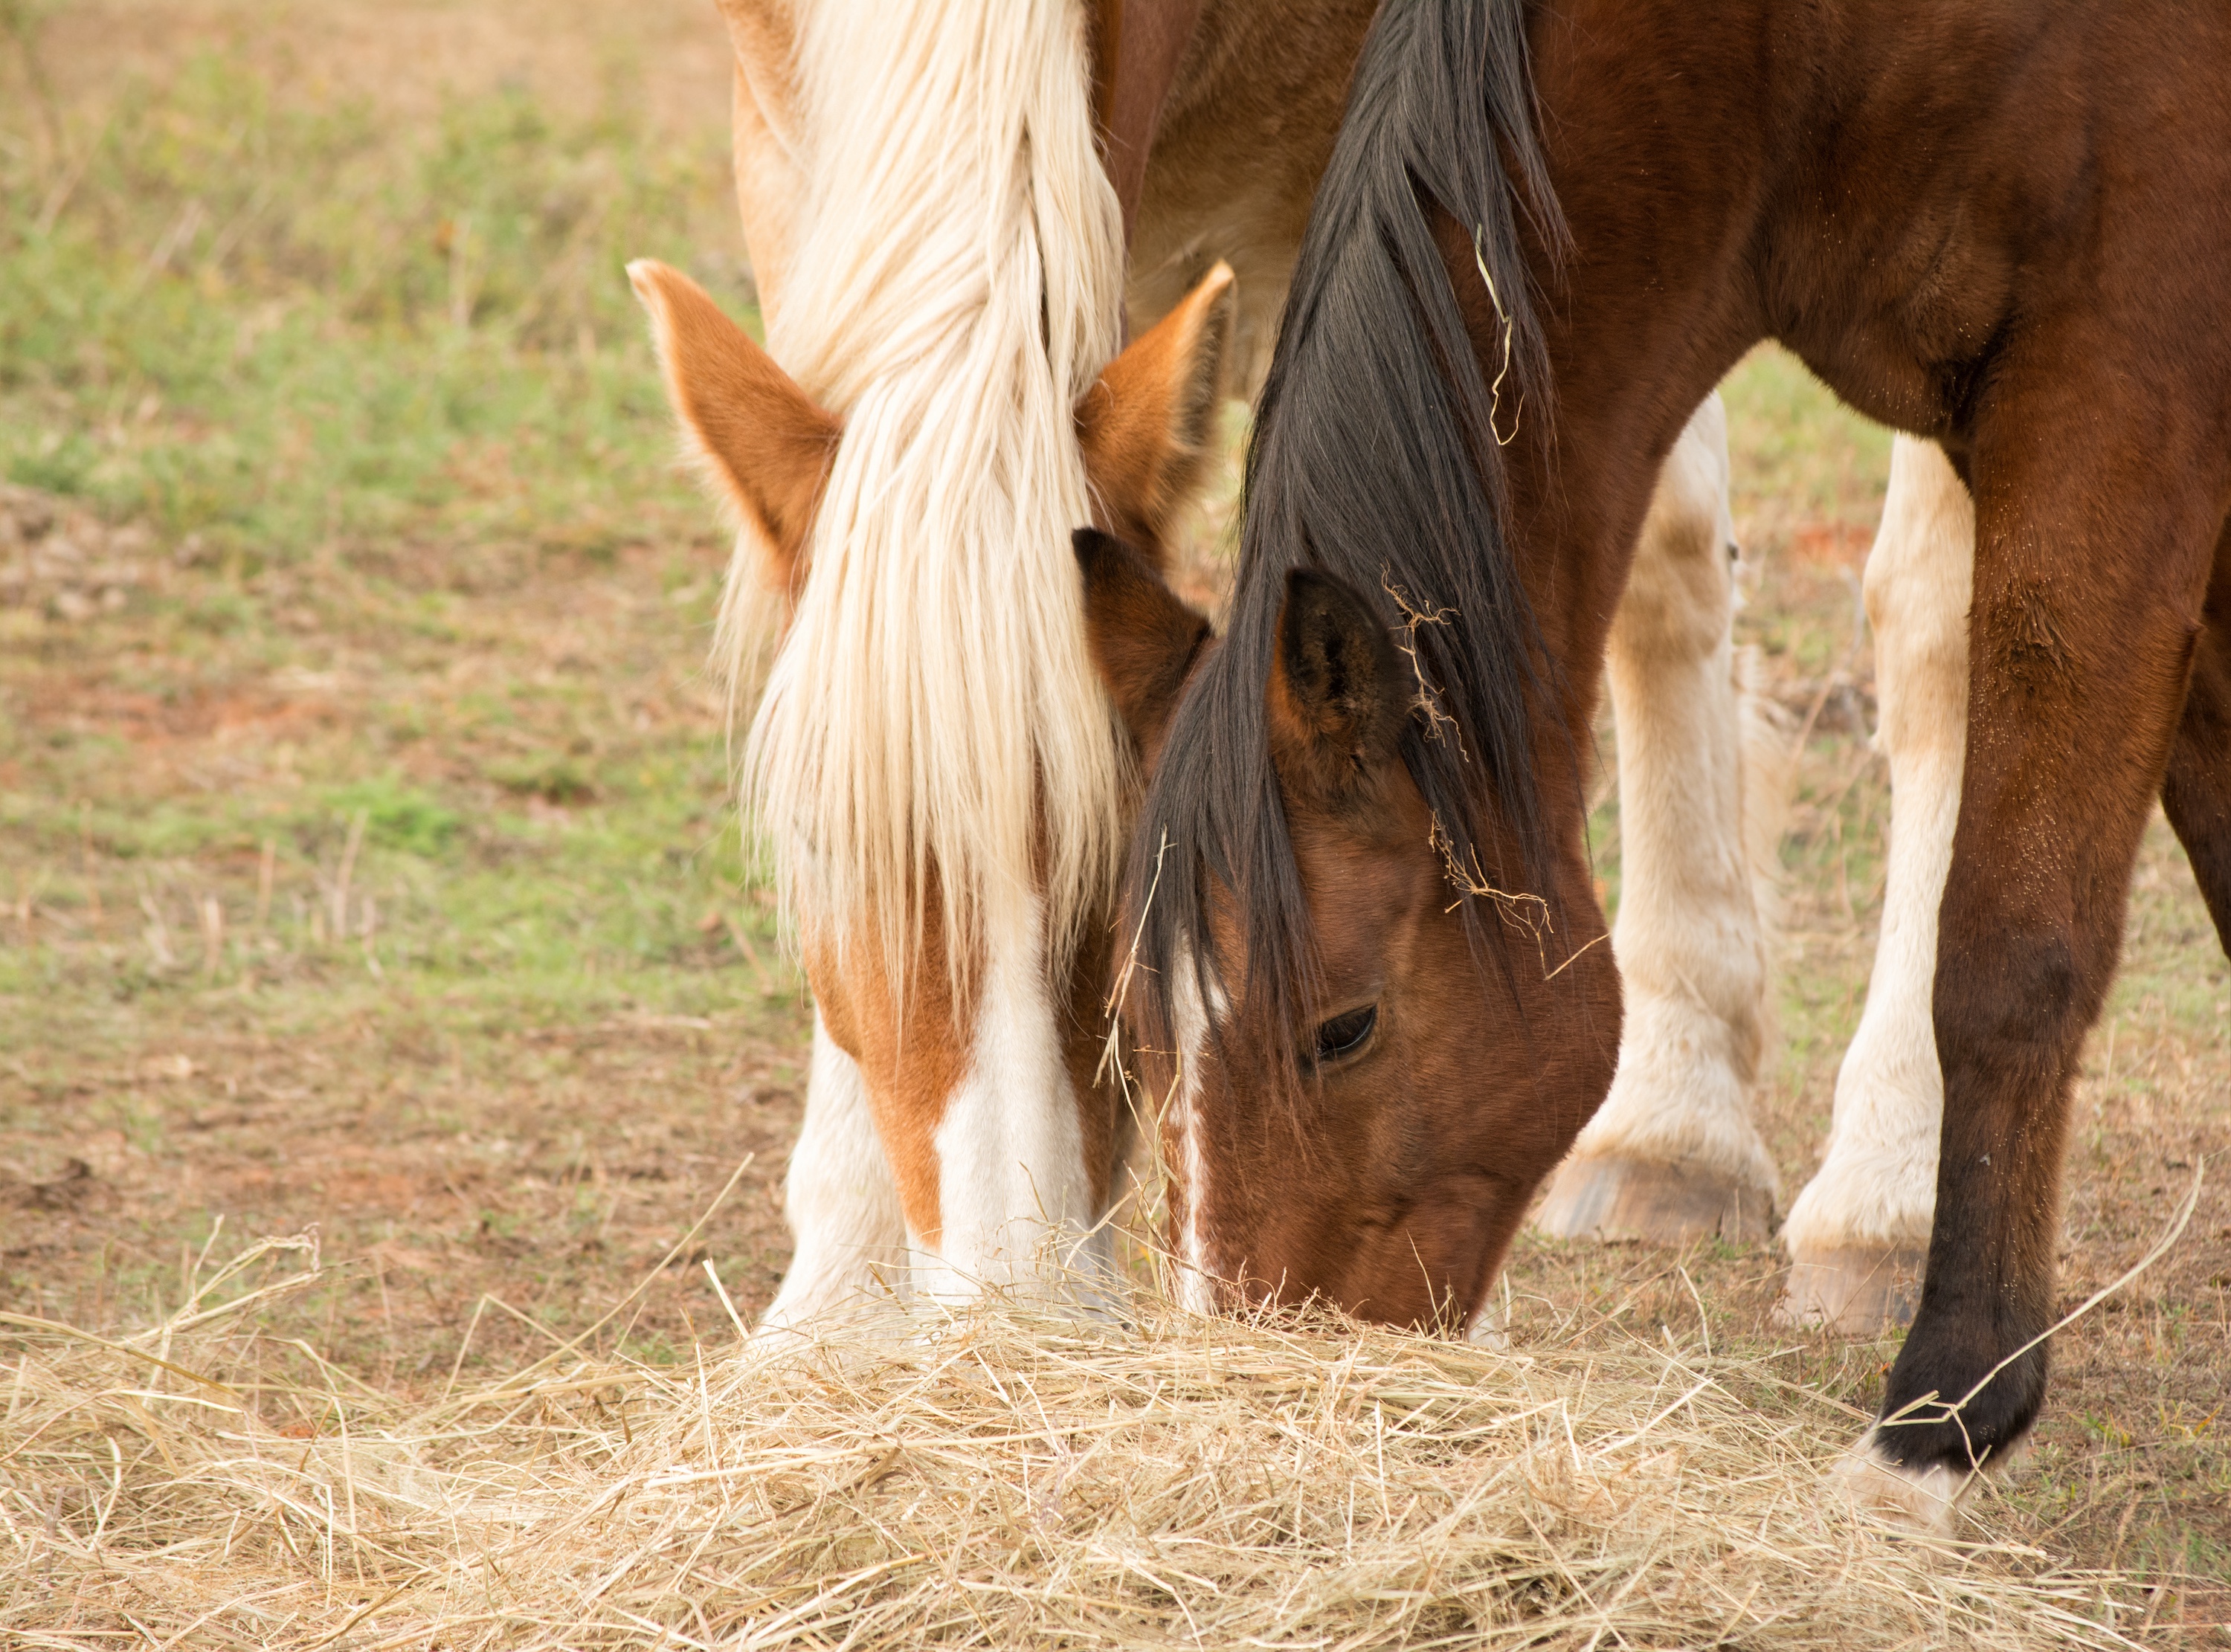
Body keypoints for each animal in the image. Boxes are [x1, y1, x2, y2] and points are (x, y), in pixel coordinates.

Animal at [1103, 0, 2231, 1529]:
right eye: (1141, 1030)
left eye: (1342, 1028)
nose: (1262, 1370)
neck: (1805, 58)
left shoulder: (2117, 413)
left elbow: (2010, 951)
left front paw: (1938, 1423)